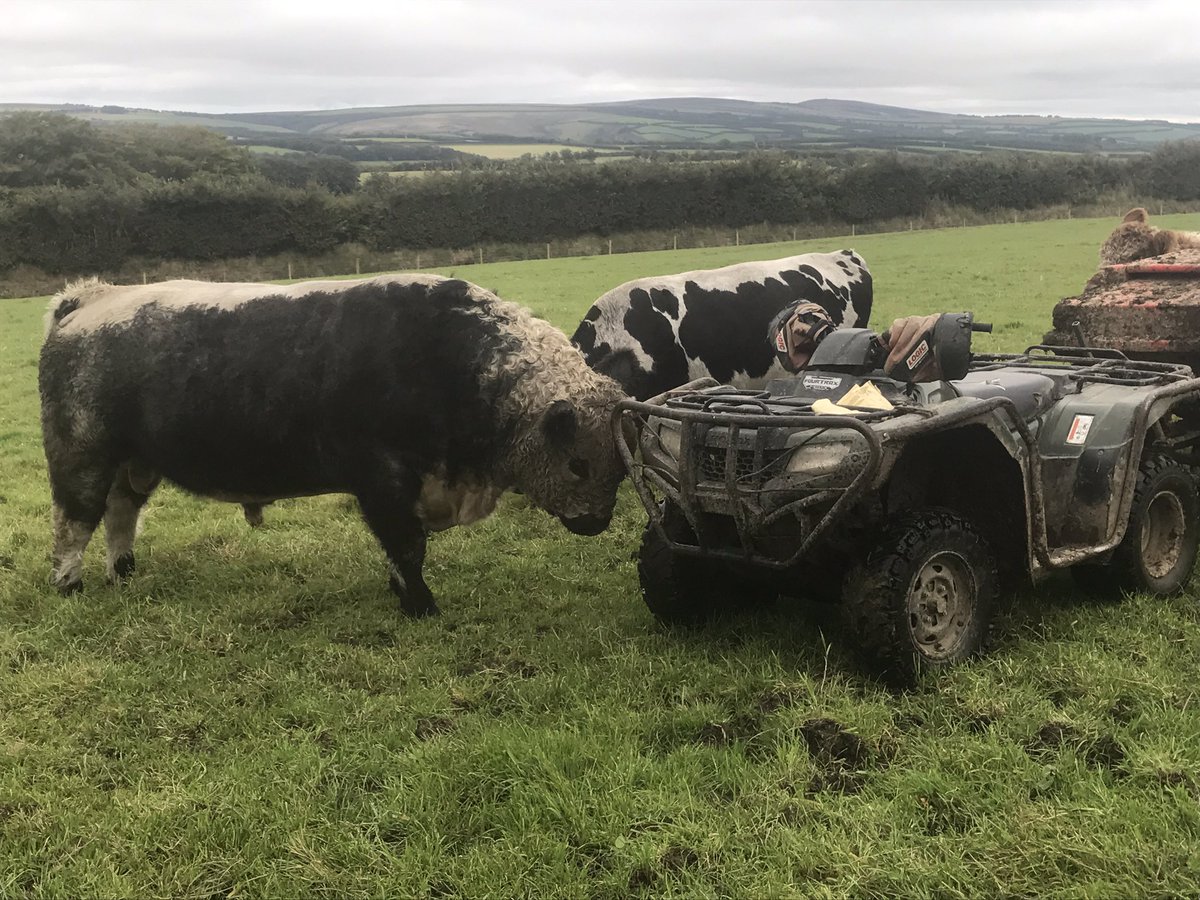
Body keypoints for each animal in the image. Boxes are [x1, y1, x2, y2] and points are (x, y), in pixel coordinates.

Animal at [39, 274, 628, 616]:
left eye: (620, 470)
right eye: (578, 465)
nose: (597, 522)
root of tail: (88, 298)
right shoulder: (383, 479)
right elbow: (407, 547)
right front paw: (419, 604)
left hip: (131, 464)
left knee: (120, 514)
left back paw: (123, 571)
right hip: (81, 457)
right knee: (75, 522)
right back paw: (69, 585)